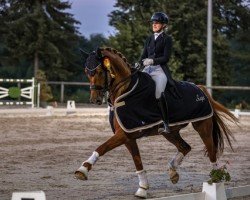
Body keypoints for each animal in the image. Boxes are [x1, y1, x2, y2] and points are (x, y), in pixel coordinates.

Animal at [74, 47, 238, 198]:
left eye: (99, 71)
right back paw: (173, 172)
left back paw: (215, 180)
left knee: (211, 151)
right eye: (86, 72)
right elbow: (137, 162)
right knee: (185, 147)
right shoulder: (128, 136)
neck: (126, 91)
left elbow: (102, 147)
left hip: (203, 126)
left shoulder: (124, 134)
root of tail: (200, 88)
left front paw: (83, 170)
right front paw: (142, 189)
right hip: (170, 132)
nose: (94, 99)